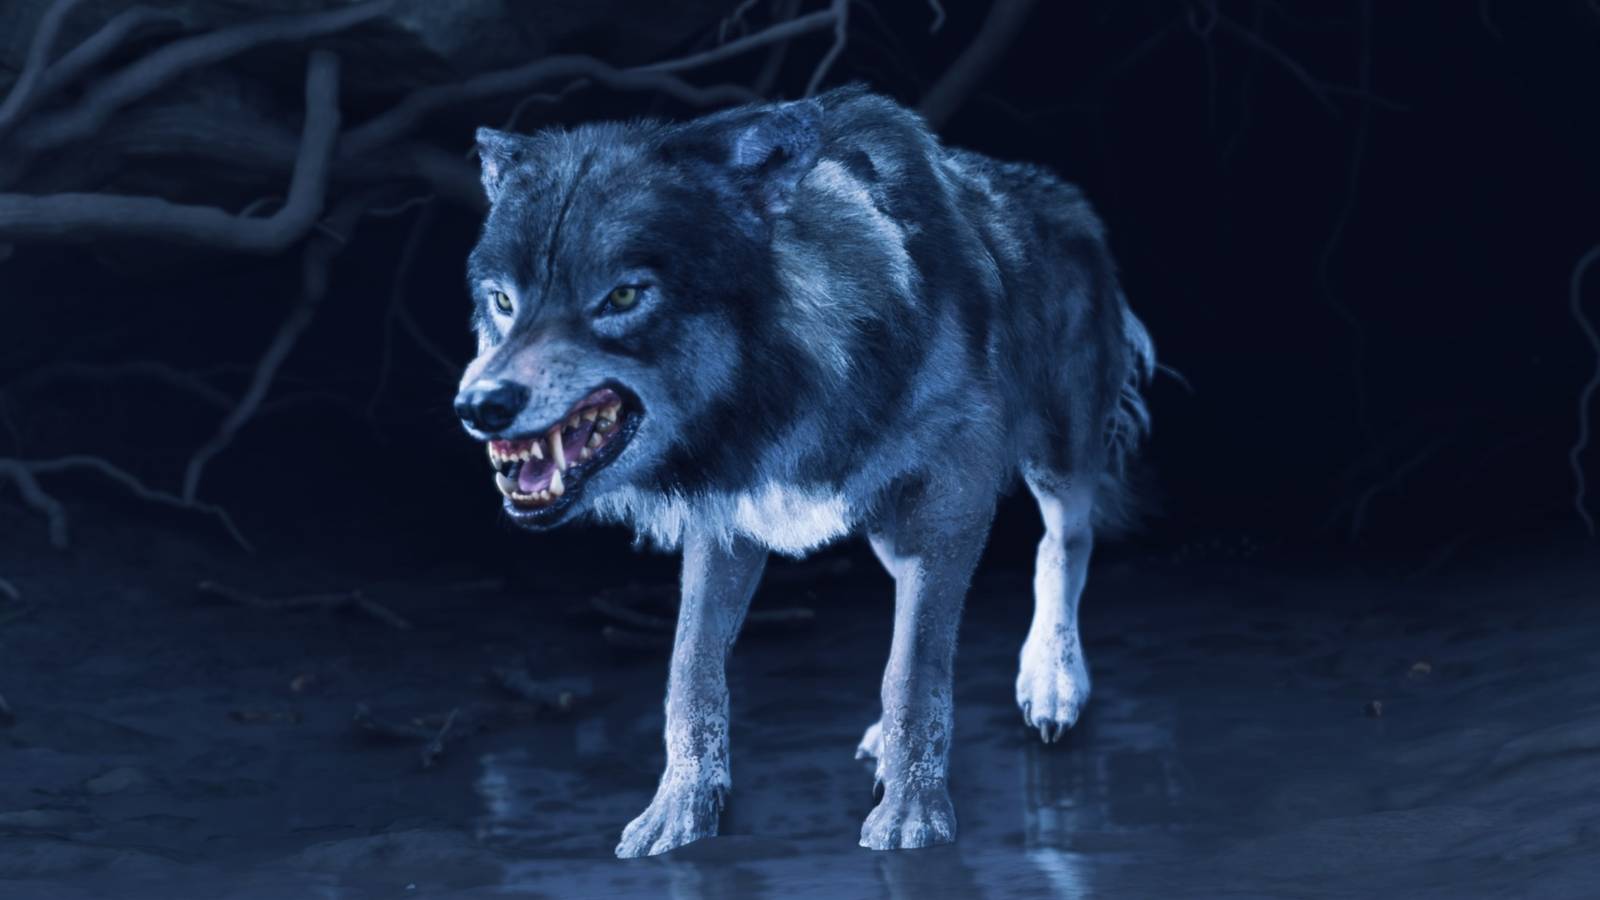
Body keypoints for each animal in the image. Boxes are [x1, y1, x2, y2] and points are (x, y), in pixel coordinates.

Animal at [453, 86, 1153, 858]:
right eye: (504, 301)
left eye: (624, 297)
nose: (479, 405)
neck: (795, 387)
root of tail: (1063, 196)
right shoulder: (726, 517)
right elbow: (690, 671)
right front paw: (681, 811)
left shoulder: (954, 489)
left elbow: (915, 668)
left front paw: (912, 814)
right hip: (889, 528)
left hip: (1053, 458)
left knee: (1062, 542)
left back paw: (1052, 683)